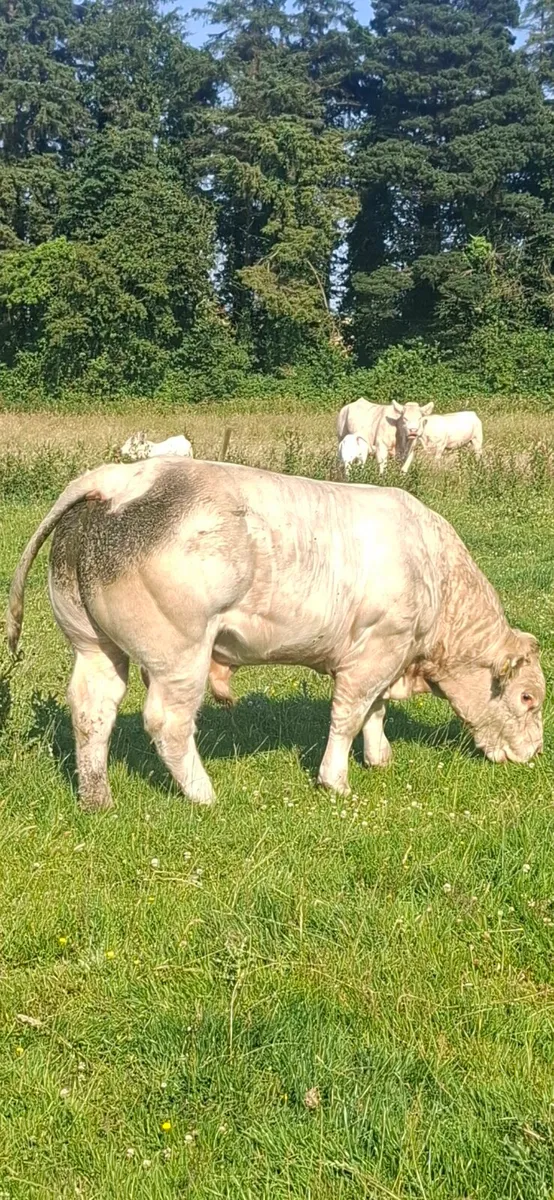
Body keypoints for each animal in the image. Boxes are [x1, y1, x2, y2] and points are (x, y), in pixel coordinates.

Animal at [7, 459, 544, 810]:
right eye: (527, 699)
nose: (536, 753)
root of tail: (120, 478)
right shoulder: (376, 650)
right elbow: (349, 715)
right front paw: (336, 780)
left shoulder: (388, 656)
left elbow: (376, 712)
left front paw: (380, 758)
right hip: (180, 652)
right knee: (167, 722)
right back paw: (203, 795)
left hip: (94, 645)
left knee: (91, 710)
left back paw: (97, 799)